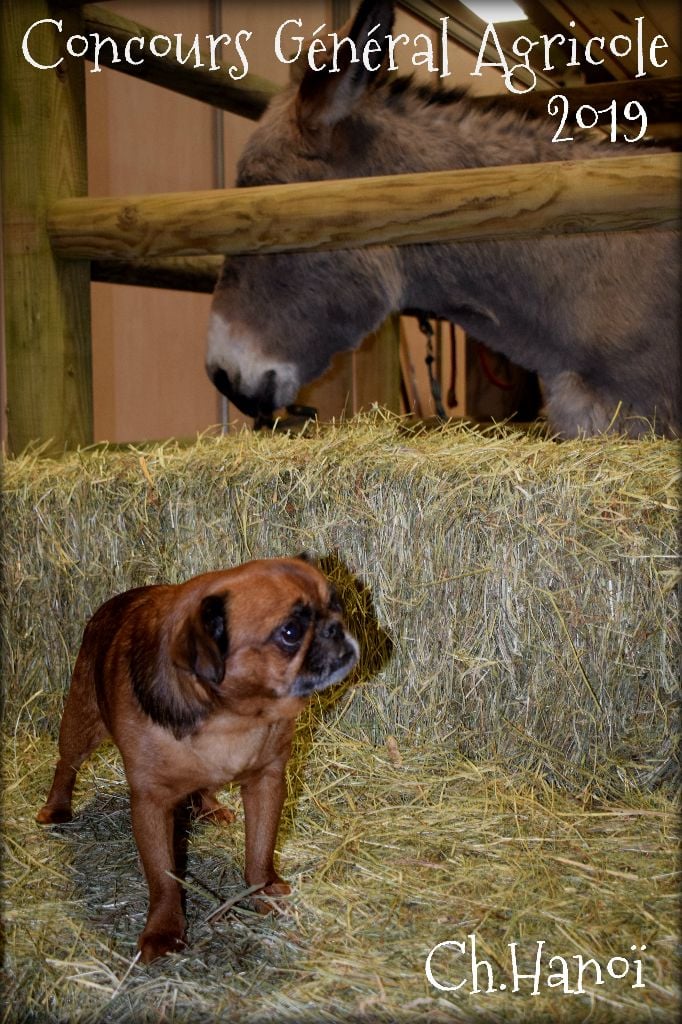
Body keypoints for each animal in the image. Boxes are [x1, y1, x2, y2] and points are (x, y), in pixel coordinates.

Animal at [37, 557, 358, 962]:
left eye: (337, 605)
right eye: (290, 632)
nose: (335, 627)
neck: (231, 718)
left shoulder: (267, 783)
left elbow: (260, 852)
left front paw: (264, 892)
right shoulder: (152, 804)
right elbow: (163, 877)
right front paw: (164, 930)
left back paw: (209, 807)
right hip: (81, 721)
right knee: (67, 763)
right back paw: (56, 808)